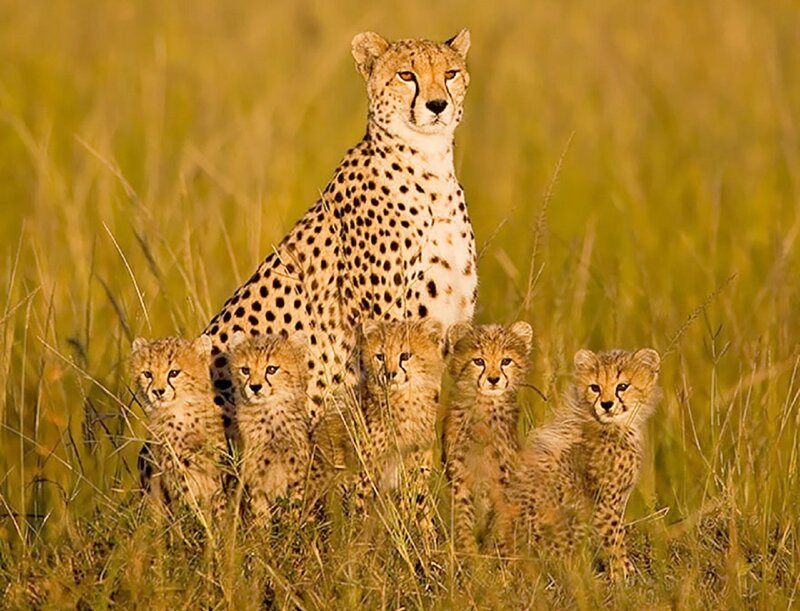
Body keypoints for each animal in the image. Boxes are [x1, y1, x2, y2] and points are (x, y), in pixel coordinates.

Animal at [130, 336, 228, 522]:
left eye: (174, 373)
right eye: (147, 374)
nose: (158, 391)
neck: (181, 413)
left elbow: (220, 504)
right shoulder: (177, 474)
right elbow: (189, 506)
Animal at [227, 331, 312, 524]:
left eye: (271, 369)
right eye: (245, 370)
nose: (255, 387)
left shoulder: (297, 476)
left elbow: (293, 508)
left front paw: (291, 528)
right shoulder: (254, 480)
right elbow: (259, 512)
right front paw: (262, 530)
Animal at [442, 320, 533, 556]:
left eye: (506, 361)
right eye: (478, 361)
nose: (493, 379)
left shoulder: (505, 483)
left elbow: (499, 524)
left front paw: (493, 557)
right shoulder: (459, 476)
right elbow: (463, 520)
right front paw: (470, 554)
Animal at [505, 348, 662, 581]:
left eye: (622, 386)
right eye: (595, 387)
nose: (606, 404)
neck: (612, 426)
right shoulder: (603, 503)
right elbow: (614, 536)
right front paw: (623, 573)